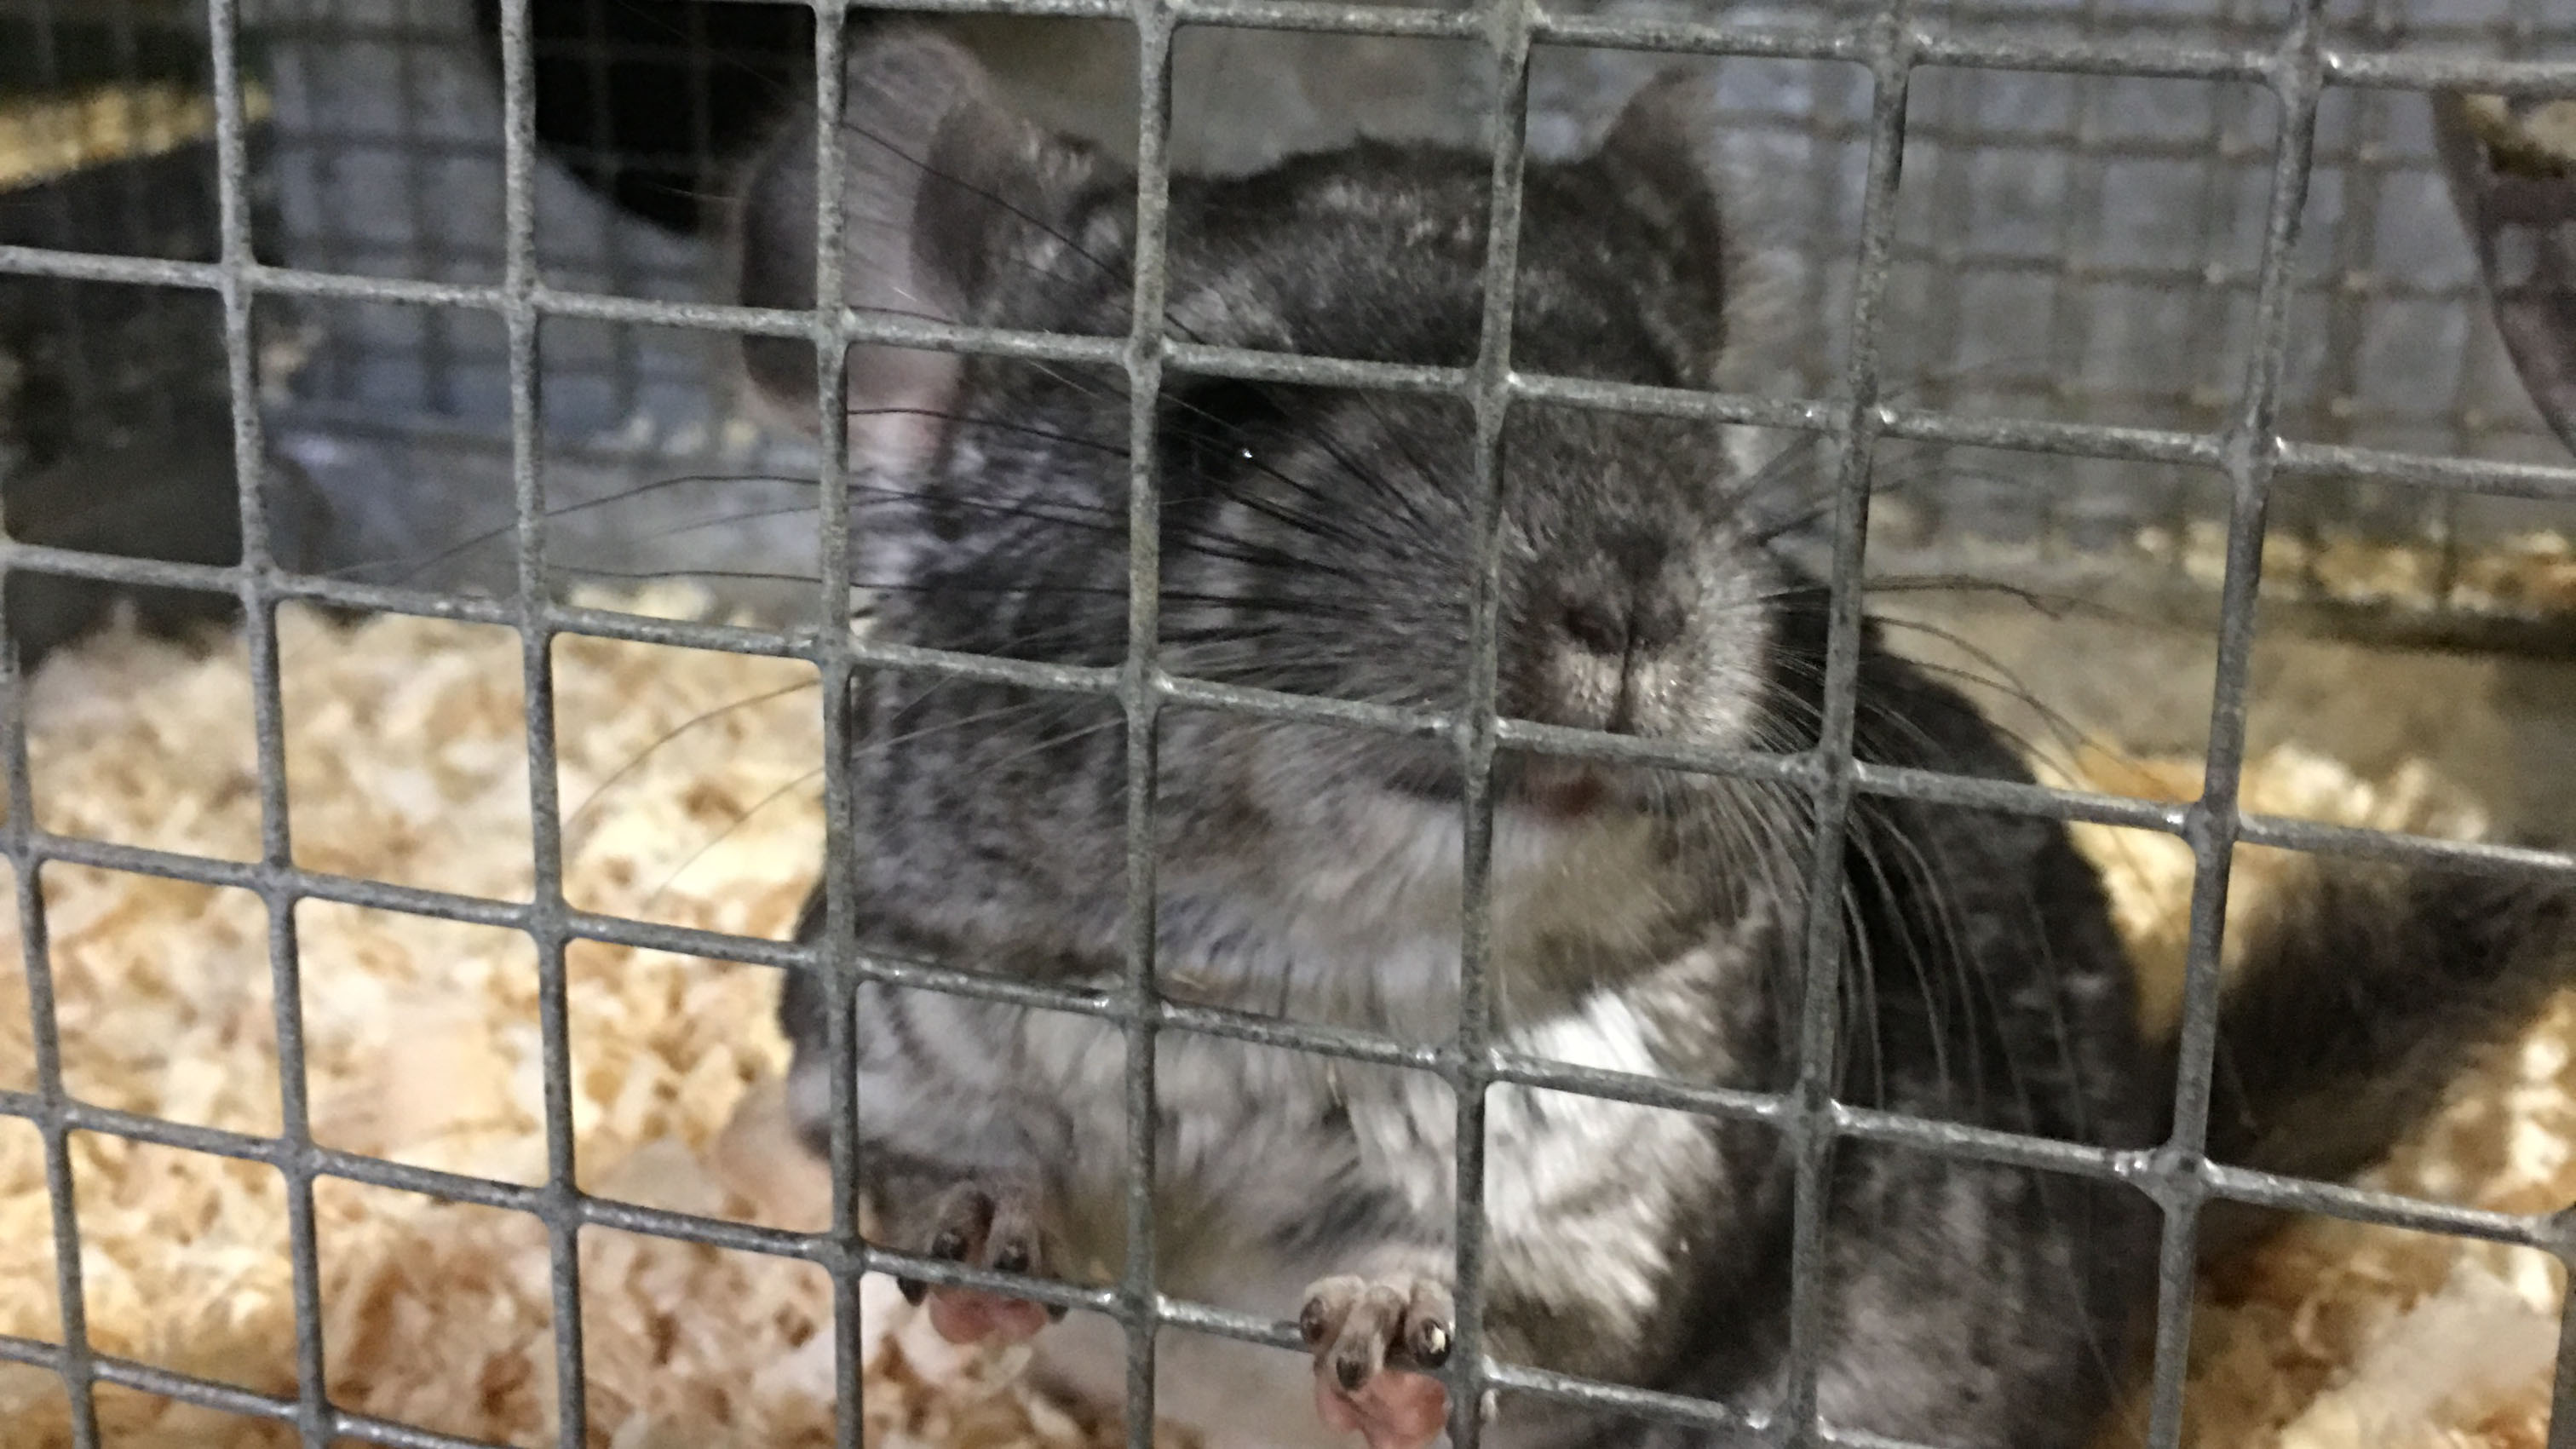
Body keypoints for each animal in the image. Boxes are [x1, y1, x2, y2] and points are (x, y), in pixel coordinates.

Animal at [730, 28, 2576, 1449]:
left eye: (1689, 423)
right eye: (1220, 430)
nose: (1627, 591)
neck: (1287, 986)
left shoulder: (1640, 1175)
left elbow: (1531, 1314)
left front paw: (1394, 1329)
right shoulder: (882, 1012)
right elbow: (900, 1167)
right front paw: (976, 1244)